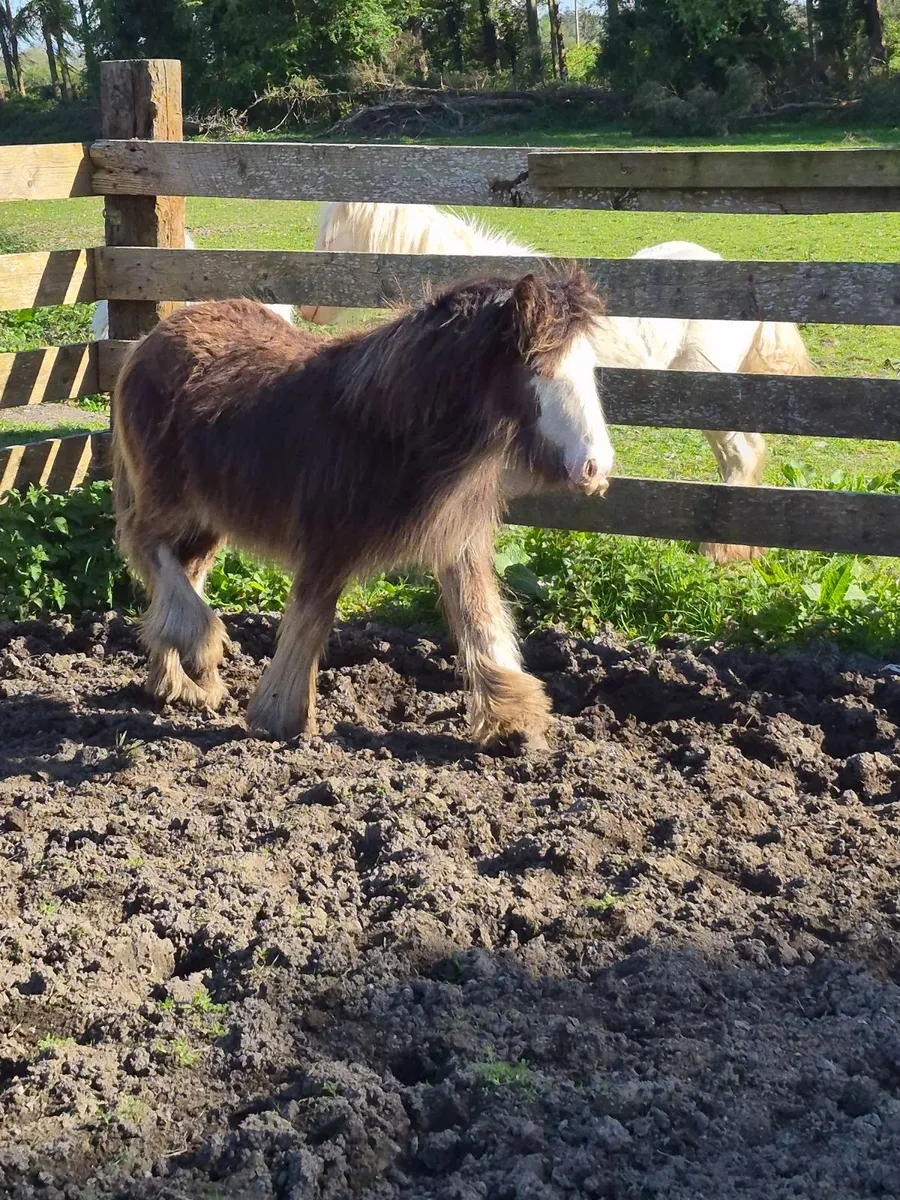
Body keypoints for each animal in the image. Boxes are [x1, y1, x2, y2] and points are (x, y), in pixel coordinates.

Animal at [111, 267, 614, 748]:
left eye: (590, 368)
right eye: (541, 368)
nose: (596, 469)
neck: (393, 427)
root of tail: (152, 338)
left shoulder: (457, 540)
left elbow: (481, 619)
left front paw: (511, 722)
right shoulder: (329, 541)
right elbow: (310, 621)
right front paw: (279, 716)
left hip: (206, 519)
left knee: (183, 571)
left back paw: (183, 684)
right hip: (169, 498)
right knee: (145, 544)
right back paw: (198, 651)